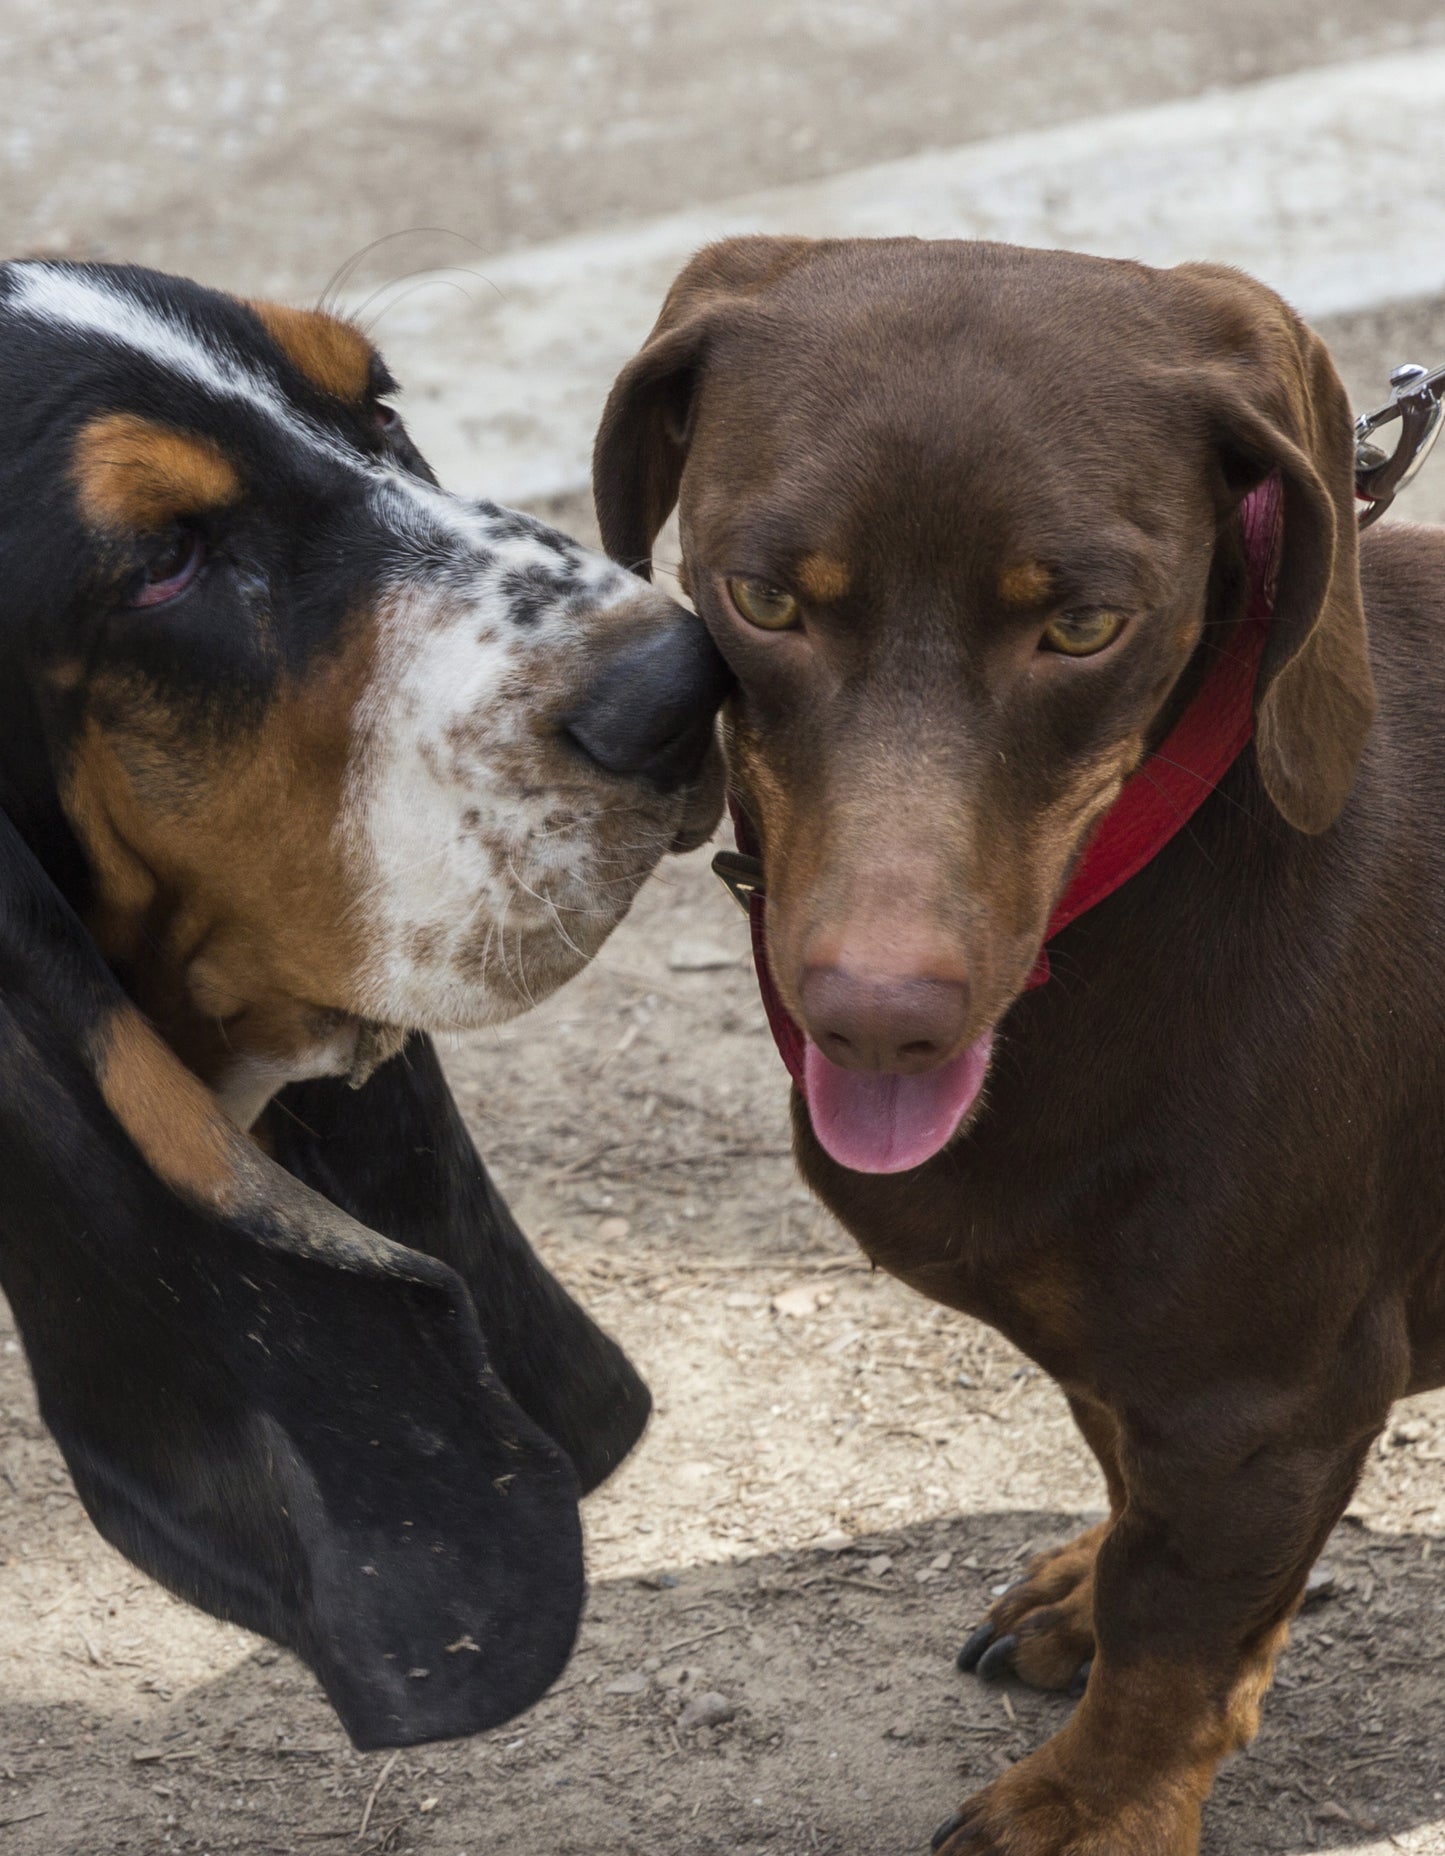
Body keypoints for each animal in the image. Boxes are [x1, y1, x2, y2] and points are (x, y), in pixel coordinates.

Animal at [589, 235, 1445, 1856]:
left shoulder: (1261, 1401)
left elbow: (1179, 1635)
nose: (876, 1015)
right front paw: (1082, 1598)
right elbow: (1133, 1510)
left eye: (1082, 628)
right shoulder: (1143, 1369)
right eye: (763, 597)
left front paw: (1091, 1806)